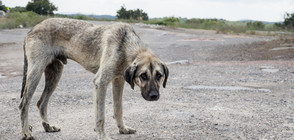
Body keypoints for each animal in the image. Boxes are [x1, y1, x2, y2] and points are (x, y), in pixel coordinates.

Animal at [19, 18, 169, 139]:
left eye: (159, 75)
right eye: (143, 76)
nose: (154, 96)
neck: (126, 45)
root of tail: (32, 29)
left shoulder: (118, 81)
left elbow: (118, 109)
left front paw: (122, 129)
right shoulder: (100, 83)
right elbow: (101, 115)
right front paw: (102, 135)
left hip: (55, 74)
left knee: (41, 103)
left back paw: (48, 126)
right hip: (36, 73)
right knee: (24, 103)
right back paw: (26, 132)